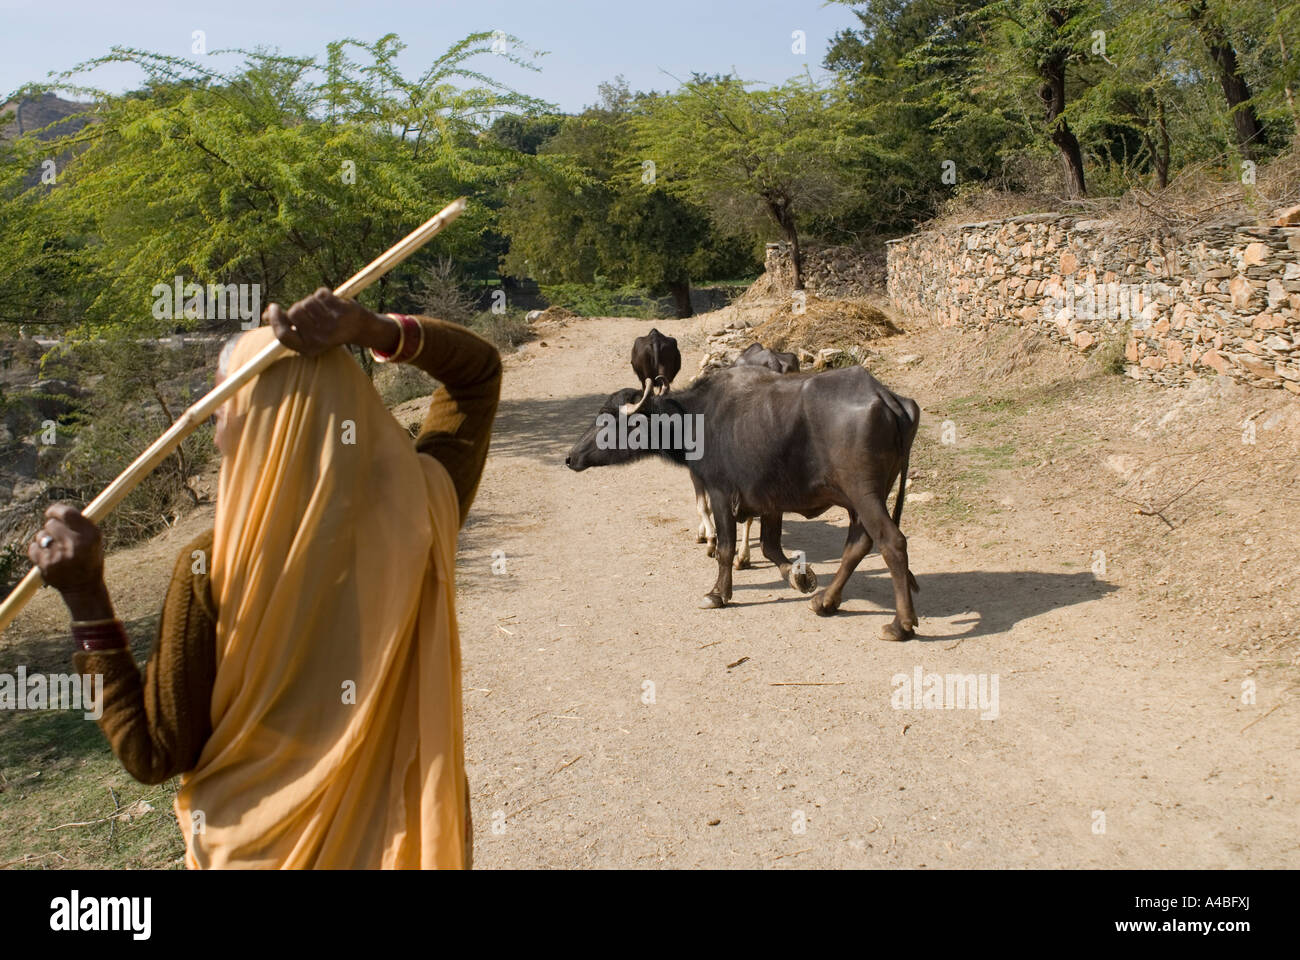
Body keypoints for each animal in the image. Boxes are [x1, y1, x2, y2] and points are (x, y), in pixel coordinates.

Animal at [564, 361, 920, 640]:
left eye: (608, 419)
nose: (570, 457)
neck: (697, 417)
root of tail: (883, 396)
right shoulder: (770, 498)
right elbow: (770, 545)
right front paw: (799, 576)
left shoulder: (721, 492)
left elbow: (725, 548)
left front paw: (718, 594)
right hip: (861, 501)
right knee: (858, 545)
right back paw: (825, 602)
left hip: (864, 494)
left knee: (892, 542)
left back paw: (900, 625)